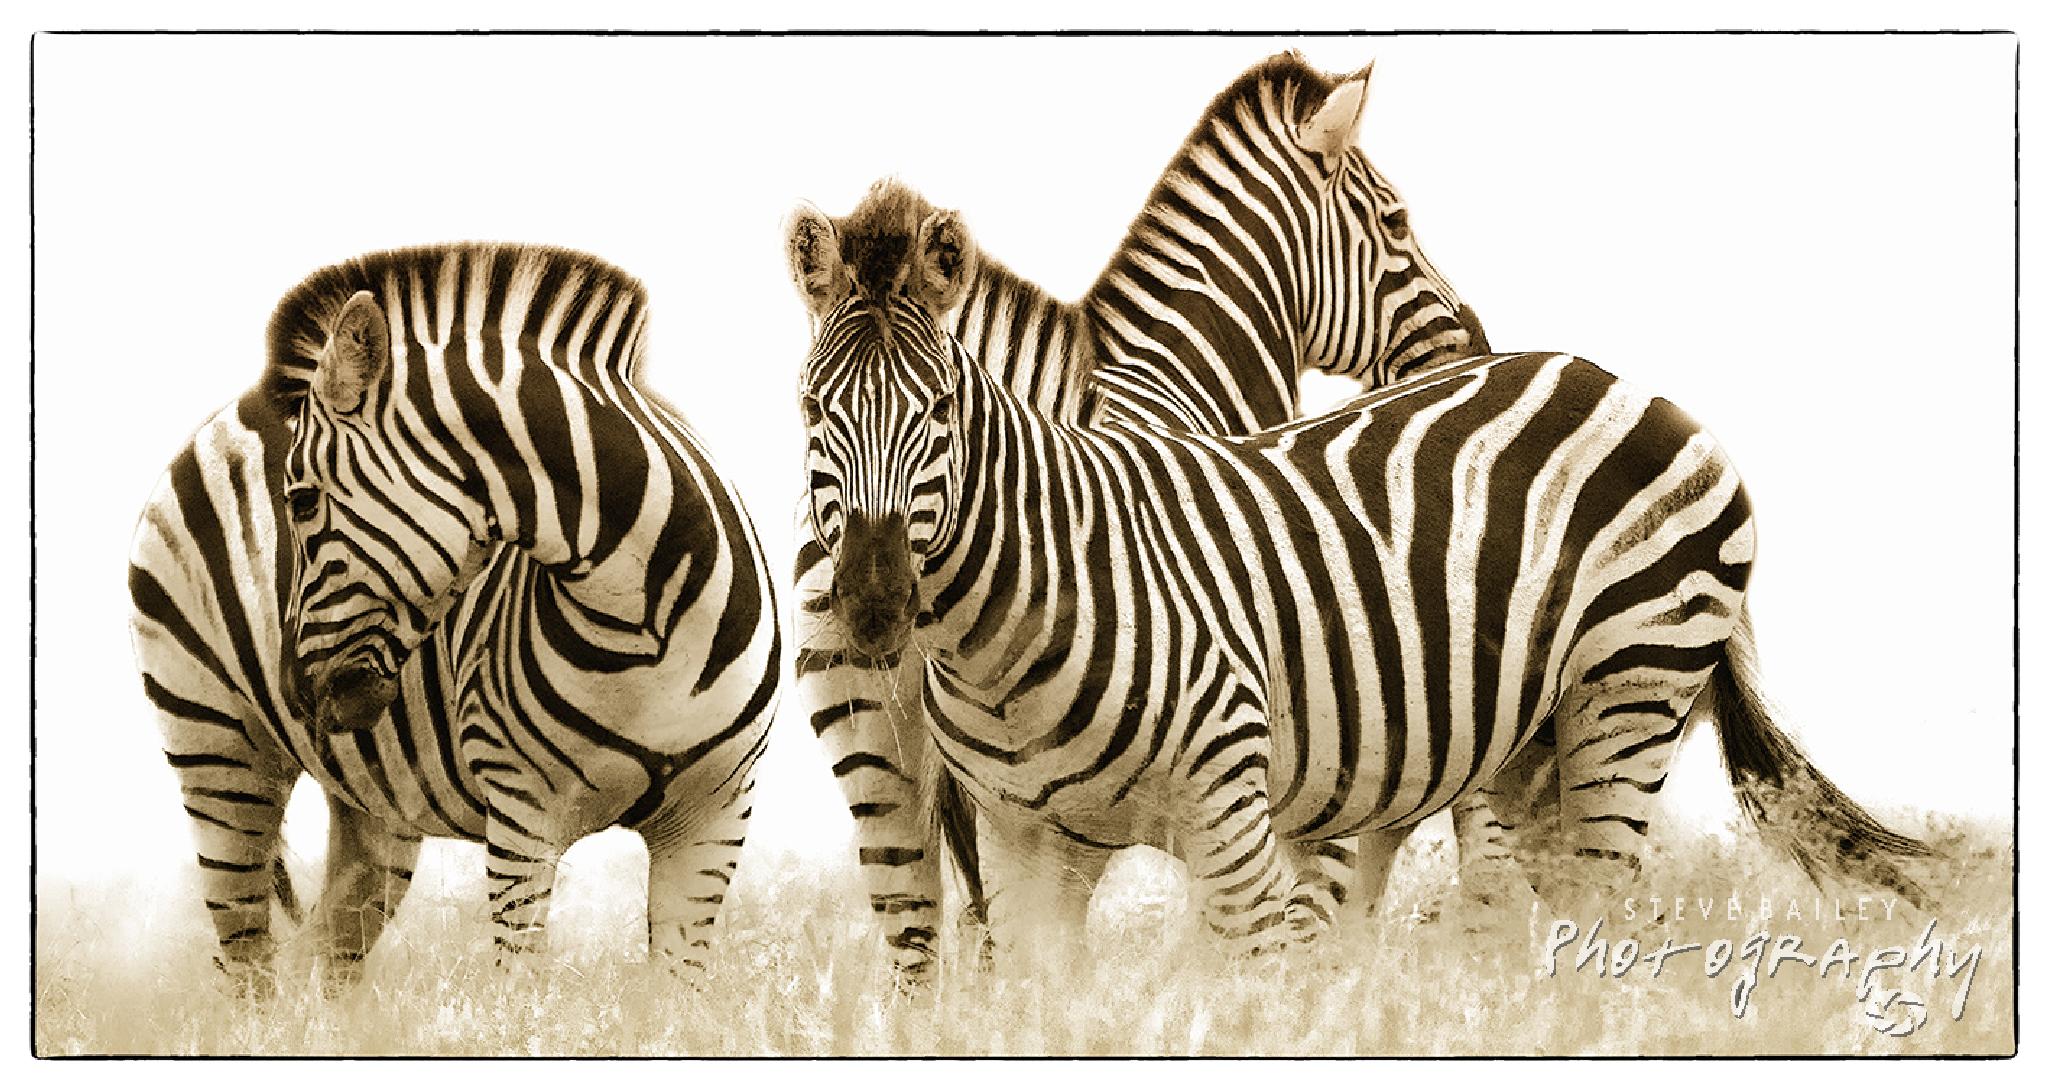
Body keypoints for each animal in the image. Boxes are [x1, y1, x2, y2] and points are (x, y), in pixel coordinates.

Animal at [128, 243, 778, 993]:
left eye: (301, 501)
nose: (294, 692)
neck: (645, 631)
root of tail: (234, 408)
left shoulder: (713, 820)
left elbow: (676, 996)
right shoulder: (523, 818)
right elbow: (524, 994)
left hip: (371, 804)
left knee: (330, 953)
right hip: (216, 748)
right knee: (246, 961)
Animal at [785, 188, 1934, 958]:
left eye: (941, 409)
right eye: (810, 410)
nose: (872, 608)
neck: (1005, 632)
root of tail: (1623, 381)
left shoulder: (1230, 813)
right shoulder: (1029, 846)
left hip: (1631, 682)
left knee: (1601, 915)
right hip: (1528, 747)